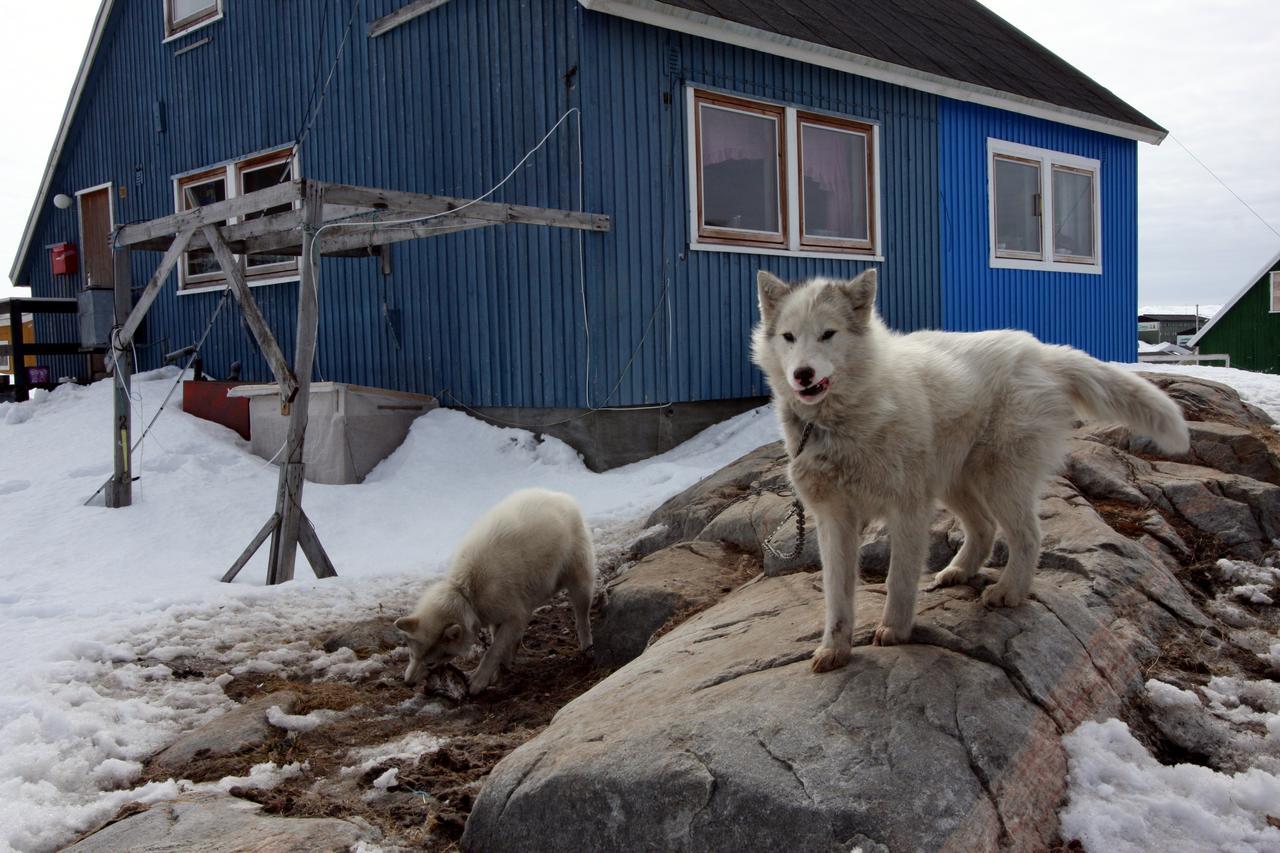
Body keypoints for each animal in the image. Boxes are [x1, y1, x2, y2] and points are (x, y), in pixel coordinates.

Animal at [394, 484, 593, 691]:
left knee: (582, 619)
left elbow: (493, 651)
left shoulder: (512, 617)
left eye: (430, 663)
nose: (408, 683)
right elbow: (499, 645)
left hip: (580, 587)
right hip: (530, 598)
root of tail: (561, 496)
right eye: (411, 656)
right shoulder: (499, 618)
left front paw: (479, 680)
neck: (466, 593)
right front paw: (498, 673)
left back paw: (587, 647)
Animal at [747, 267, 1187, 671]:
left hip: (998, 482)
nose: (802, 374)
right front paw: (834, 649)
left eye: (828, 334)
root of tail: (1039, 351)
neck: (841, 421)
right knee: (985, 528)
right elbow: (837, 594)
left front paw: (895, 629)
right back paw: (960, 570)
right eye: (789, 337)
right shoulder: (835, 520)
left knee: (1027, 536)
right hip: (955, 483)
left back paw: (1009, 591)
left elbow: (898, 579)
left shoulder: (908, 510)